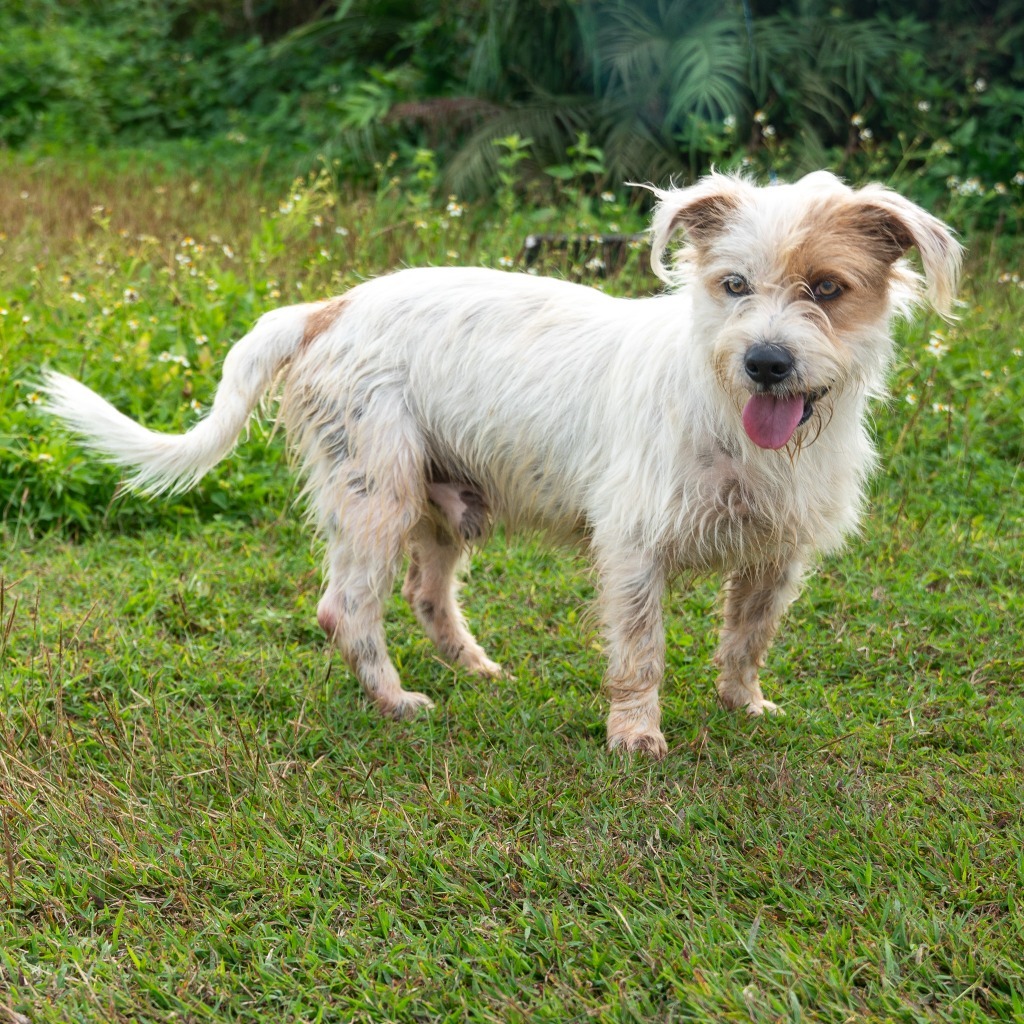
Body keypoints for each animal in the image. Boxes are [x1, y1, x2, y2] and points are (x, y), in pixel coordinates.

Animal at [41, 172, 958, 757]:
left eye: (828, 288)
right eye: (734, 284)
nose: (766, 362)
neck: (728, 410)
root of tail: (332, 305)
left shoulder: (777, 554)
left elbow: (748, 638)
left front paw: (745, 705)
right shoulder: (633, 549)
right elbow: (640, 654)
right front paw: (635, 736)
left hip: (440, 504)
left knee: (425, 594)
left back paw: (476, 668)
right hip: (374, 494)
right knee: (346, 608)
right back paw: (396, 701)